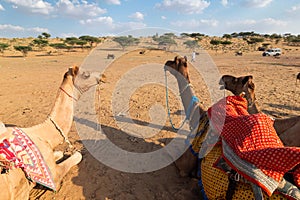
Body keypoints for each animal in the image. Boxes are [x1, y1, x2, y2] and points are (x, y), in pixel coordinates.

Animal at [0, 66, 101, 200]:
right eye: (86, 74)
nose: (101, 75)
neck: (43, 135)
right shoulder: (53, 175)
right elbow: (77, 156)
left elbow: (58, 152)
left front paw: (65, 153)